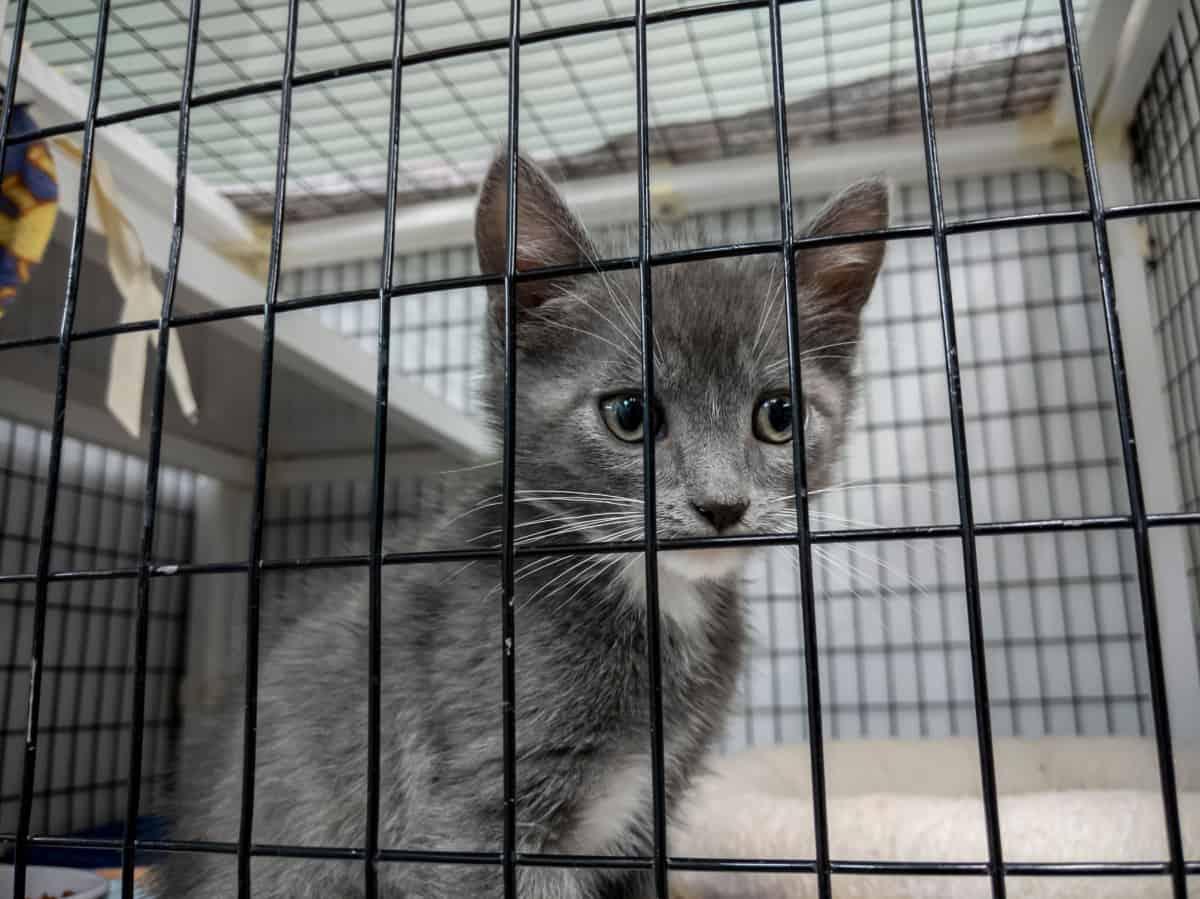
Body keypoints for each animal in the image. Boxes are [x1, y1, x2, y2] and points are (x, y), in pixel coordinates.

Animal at [157, 154, 892, 897]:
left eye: (779, 415)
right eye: (629, 413)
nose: (722, 504)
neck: (652, 594)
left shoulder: (646, 823)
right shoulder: (472, 819)